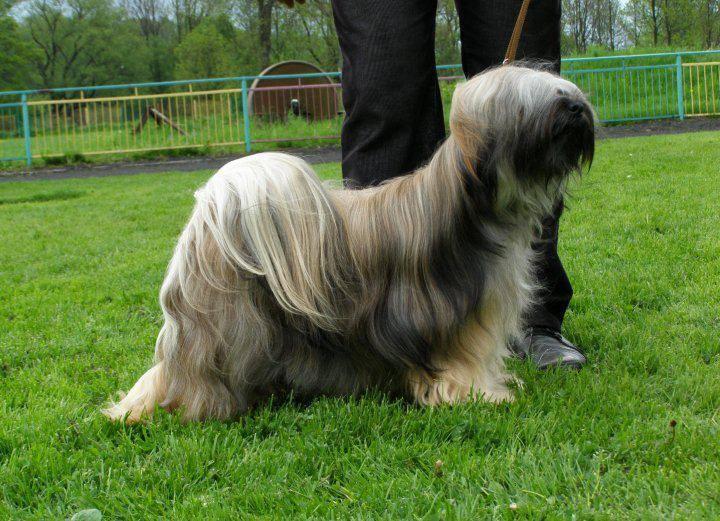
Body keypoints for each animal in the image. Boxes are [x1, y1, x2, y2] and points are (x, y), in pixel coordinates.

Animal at [104, 65, 592, 422]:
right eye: (531, 102)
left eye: (563, 90)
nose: (576, 108)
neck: (468, 204)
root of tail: (210, 214)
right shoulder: (453, 322)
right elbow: (463, 367)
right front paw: (482, 395)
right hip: (225, 327)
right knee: (189, 372)